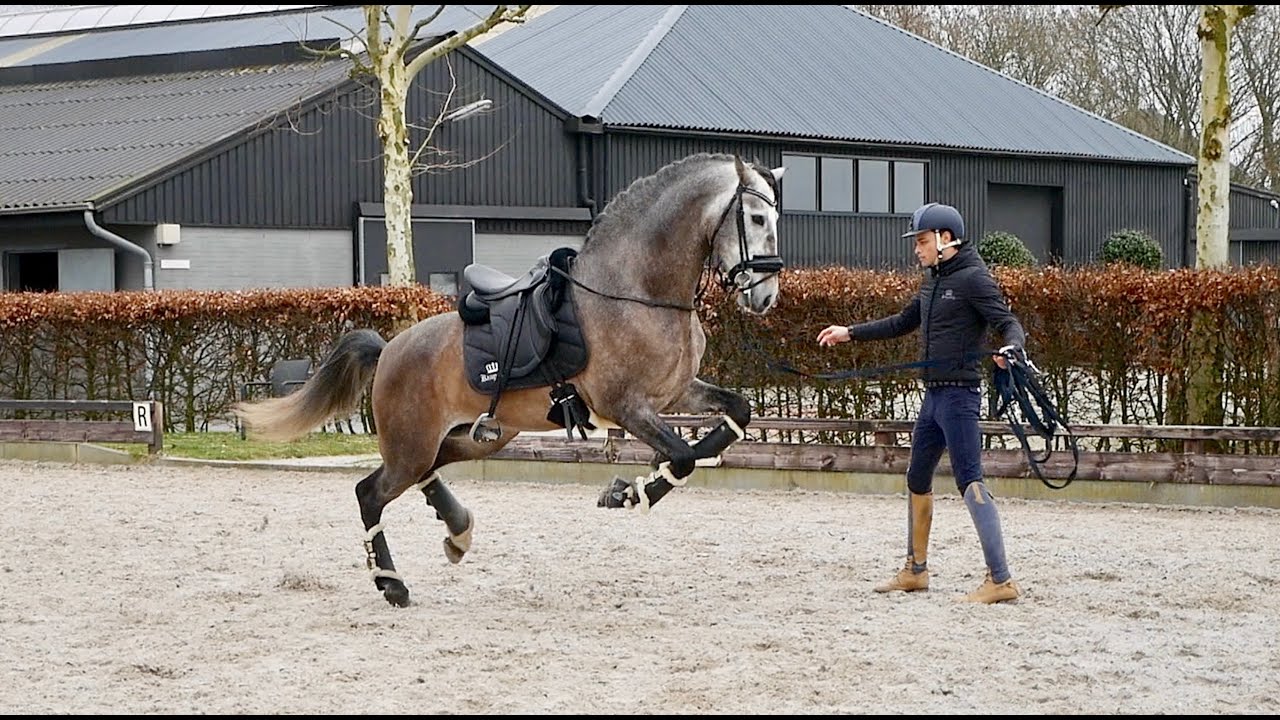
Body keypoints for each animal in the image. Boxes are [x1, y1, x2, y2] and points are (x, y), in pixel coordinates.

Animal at [233, 152, 786, 607]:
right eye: (757, 218)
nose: (765, 297)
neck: (638, 292)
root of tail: (389, 349)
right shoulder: (625, 405)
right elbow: (685, 455)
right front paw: (628, 493)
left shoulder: (676, 394)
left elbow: (734, 417)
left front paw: (640, 482)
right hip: (412, 441)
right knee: (371, 493)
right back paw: (392, 584)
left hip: (472, 437)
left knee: (422, 474)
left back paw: (457, 534)